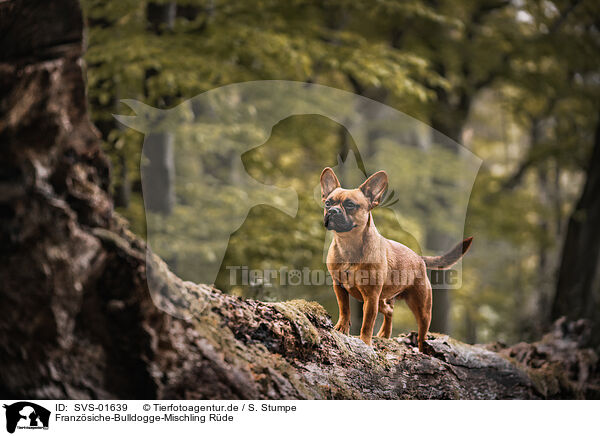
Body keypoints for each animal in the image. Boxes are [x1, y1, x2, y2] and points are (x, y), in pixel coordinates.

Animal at [322, 165, 472, 352]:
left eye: (350, 205)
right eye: (328, 203)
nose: (332, 211)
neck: (348, 244)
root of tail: (419, 258)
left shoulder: (371, 297)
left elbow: (367, 323)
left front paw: (365, 342)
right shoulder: (340, 287)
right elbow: (345, 310)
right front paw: (342, 328)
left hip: (421, 307)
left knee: (422, 333)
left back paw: (421, 350)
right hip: (382, 299)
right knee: (389, 311)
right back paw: (384, 334)